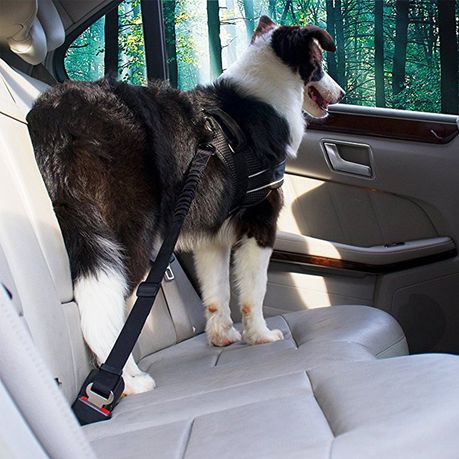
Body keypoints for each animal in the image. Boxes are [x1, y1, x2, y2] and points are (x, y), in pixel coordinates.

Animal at [27, 16, 344, 394]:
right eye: (319, 64)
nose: (342, 94)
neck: (265, 96)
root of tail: (59, 113)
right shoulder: (260, 224)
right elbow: (253, 291)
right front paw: (261, 336)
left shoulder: (212, 235)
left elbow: (217, 291)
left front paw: (223, 336)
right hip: (125, 237)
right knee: (102, 308)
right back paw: (128, 381)